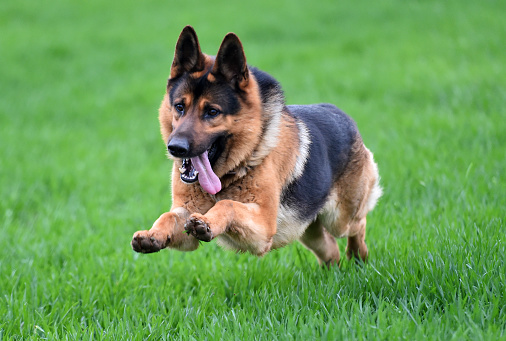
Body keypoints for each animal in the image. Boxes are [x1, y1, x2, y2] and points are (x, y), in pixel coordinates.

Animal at [130, 26, 380, 266]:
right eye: (180, 107)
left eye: (212, 112)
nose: (176, 148)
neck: (231, 171)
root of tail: (344, 116)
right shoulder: (186, 220)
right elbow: (168, 216)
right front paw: (152, 235)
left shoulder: (262, 227)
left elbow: (228, 205)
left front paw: (209, 221)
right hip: (308, 230)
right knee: (330, 250)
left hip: (339, 219)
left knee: (358, 225)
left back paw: (358, 257)